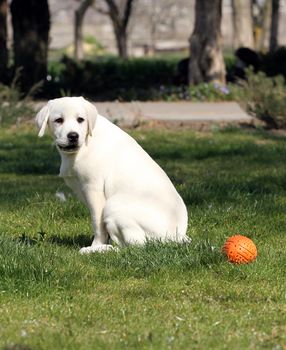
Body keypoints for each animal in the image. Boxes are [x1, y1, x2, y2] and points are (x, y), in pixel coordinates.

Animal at [35, 97, 189, 253]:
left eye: (80, 119)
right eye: (59, 120)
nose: (73, 136)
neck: (86, 141)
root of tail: (175, 237)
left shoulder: (93, 189)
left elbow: (97, 224)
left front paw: (96, 245)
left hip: (113, 206)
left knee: (134, 247)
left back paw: (97, 250)